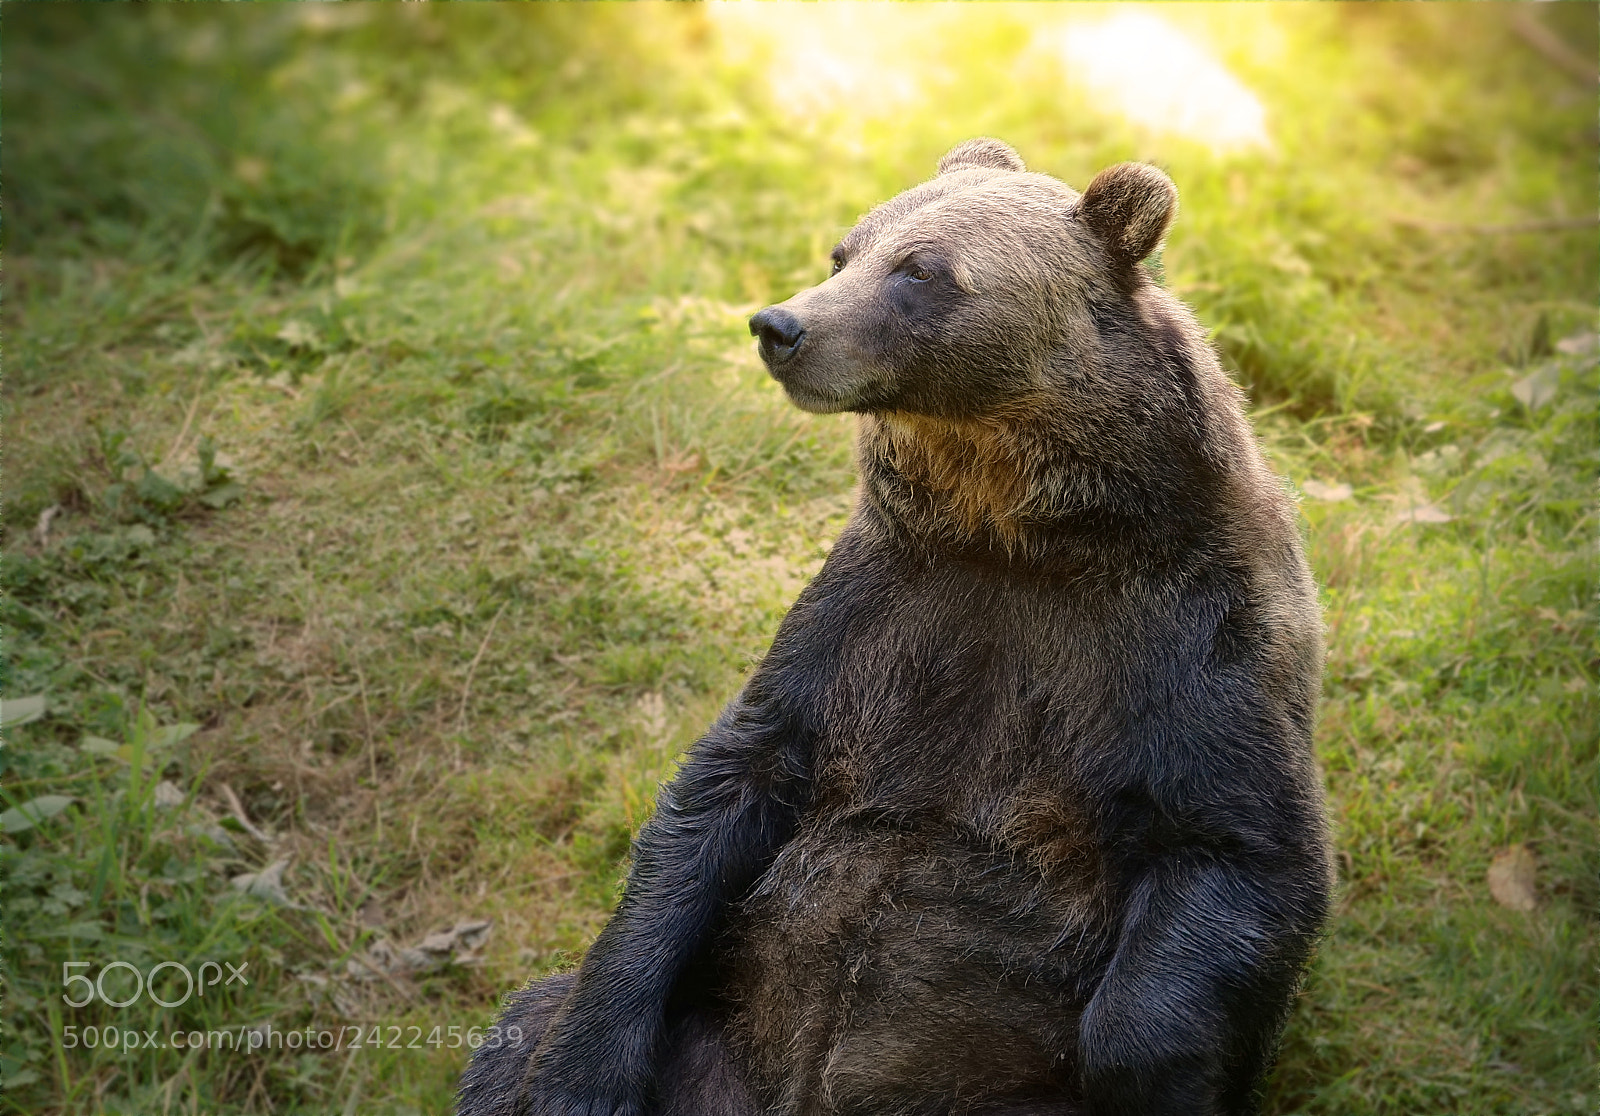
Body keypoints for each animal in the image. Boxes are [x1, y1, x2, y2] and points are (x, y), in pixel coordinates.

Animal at [457, 137, 1334, 1116]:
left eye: (921, 269)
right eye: (845, 251)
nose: (781, 326)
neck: (1013, 533)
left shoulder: (1192, 638)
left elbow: (1236, 849)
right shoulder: (878, 606)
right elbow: (722, 792)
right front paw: (581, 1079)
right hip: (713, 1049)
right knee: (524, 1021)